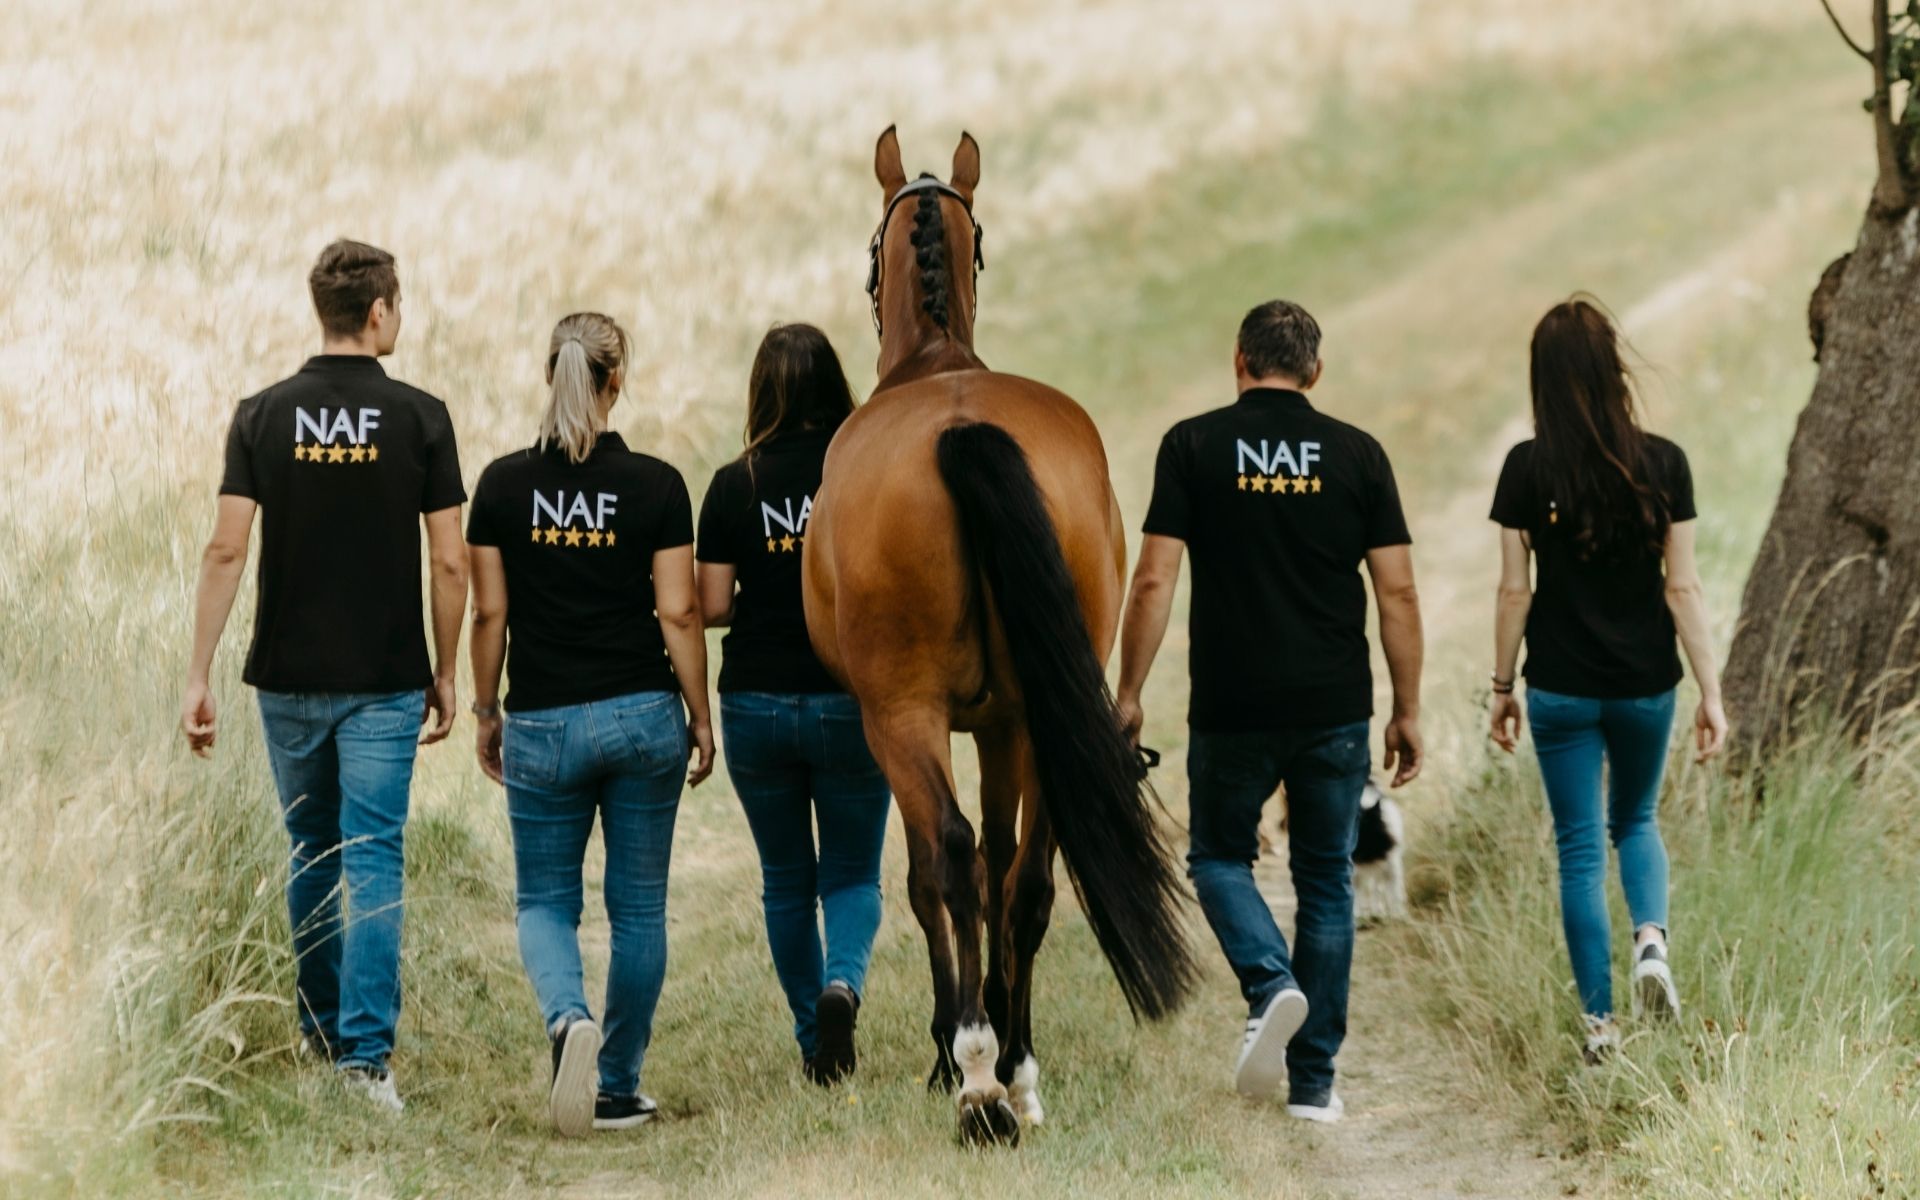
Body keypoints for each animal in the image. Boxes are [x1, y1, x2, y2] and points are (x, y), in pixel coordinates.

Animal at [802, 127, 1197, 1145]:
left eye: (869, 249)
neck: (935, 362)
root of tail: (962, 429)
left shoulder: (909, 724)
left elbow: (929, 874)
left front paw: (948, 1048)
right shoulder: (1001, 722)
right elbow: (1000, 863)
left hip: (904, 715)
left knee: (950, 856)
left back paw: (978, 1078)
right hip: (1038, 720)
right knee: (1027, 878)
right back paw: (1016, 1069)